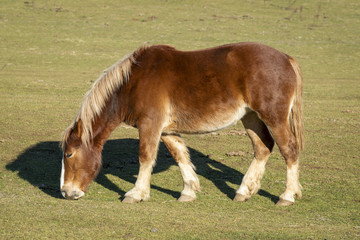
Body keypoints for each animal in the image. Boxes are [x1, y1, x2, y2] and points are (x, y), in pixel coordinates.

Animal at [59, 41, 304, 206]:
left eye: (69, 154)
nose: (65, 192)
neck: (134, 82)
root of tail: (286, 58)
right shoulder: (167, 130)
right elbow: (180, 157)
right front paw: (188, 191)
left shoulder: (150, 125)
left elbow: (145, 157)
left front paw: (136, 193)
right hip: (250, 117)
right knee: (263, 148)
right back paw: (244, 191)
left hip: (273, 117)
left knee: (289, 149)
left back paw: (287, 196)